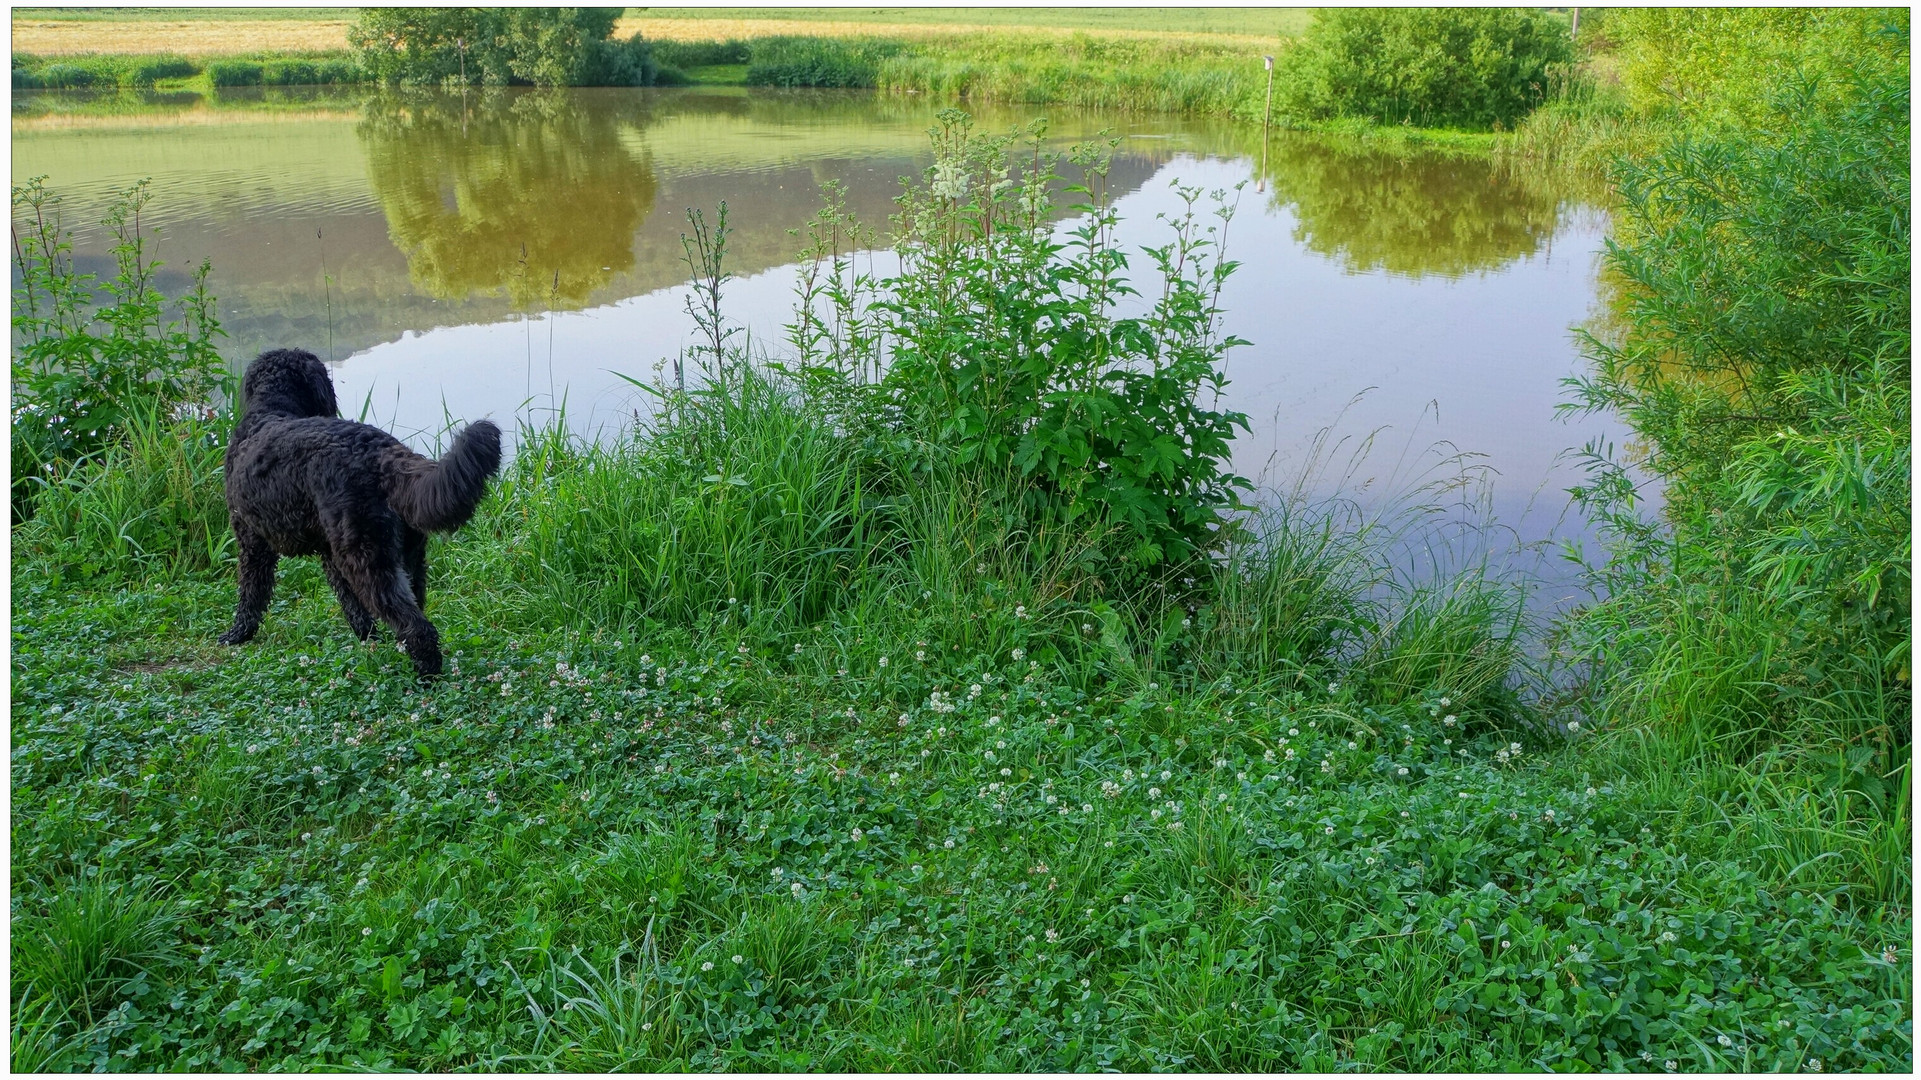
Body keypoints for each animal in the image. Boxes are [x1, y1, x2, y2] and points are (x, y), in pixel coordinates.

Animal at [218, 349, 503, 676]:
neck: (272, 409)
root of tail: (383, 454)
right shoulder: (329, 554)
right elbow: (350, 602)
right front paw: (366, 636)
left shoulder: (252, 541)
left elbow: (251, 593)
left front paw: (238, 633)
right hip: (404, 558)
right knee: (414, 610)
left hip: (367, 559)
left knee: (417, 626)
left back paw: (426, 674)